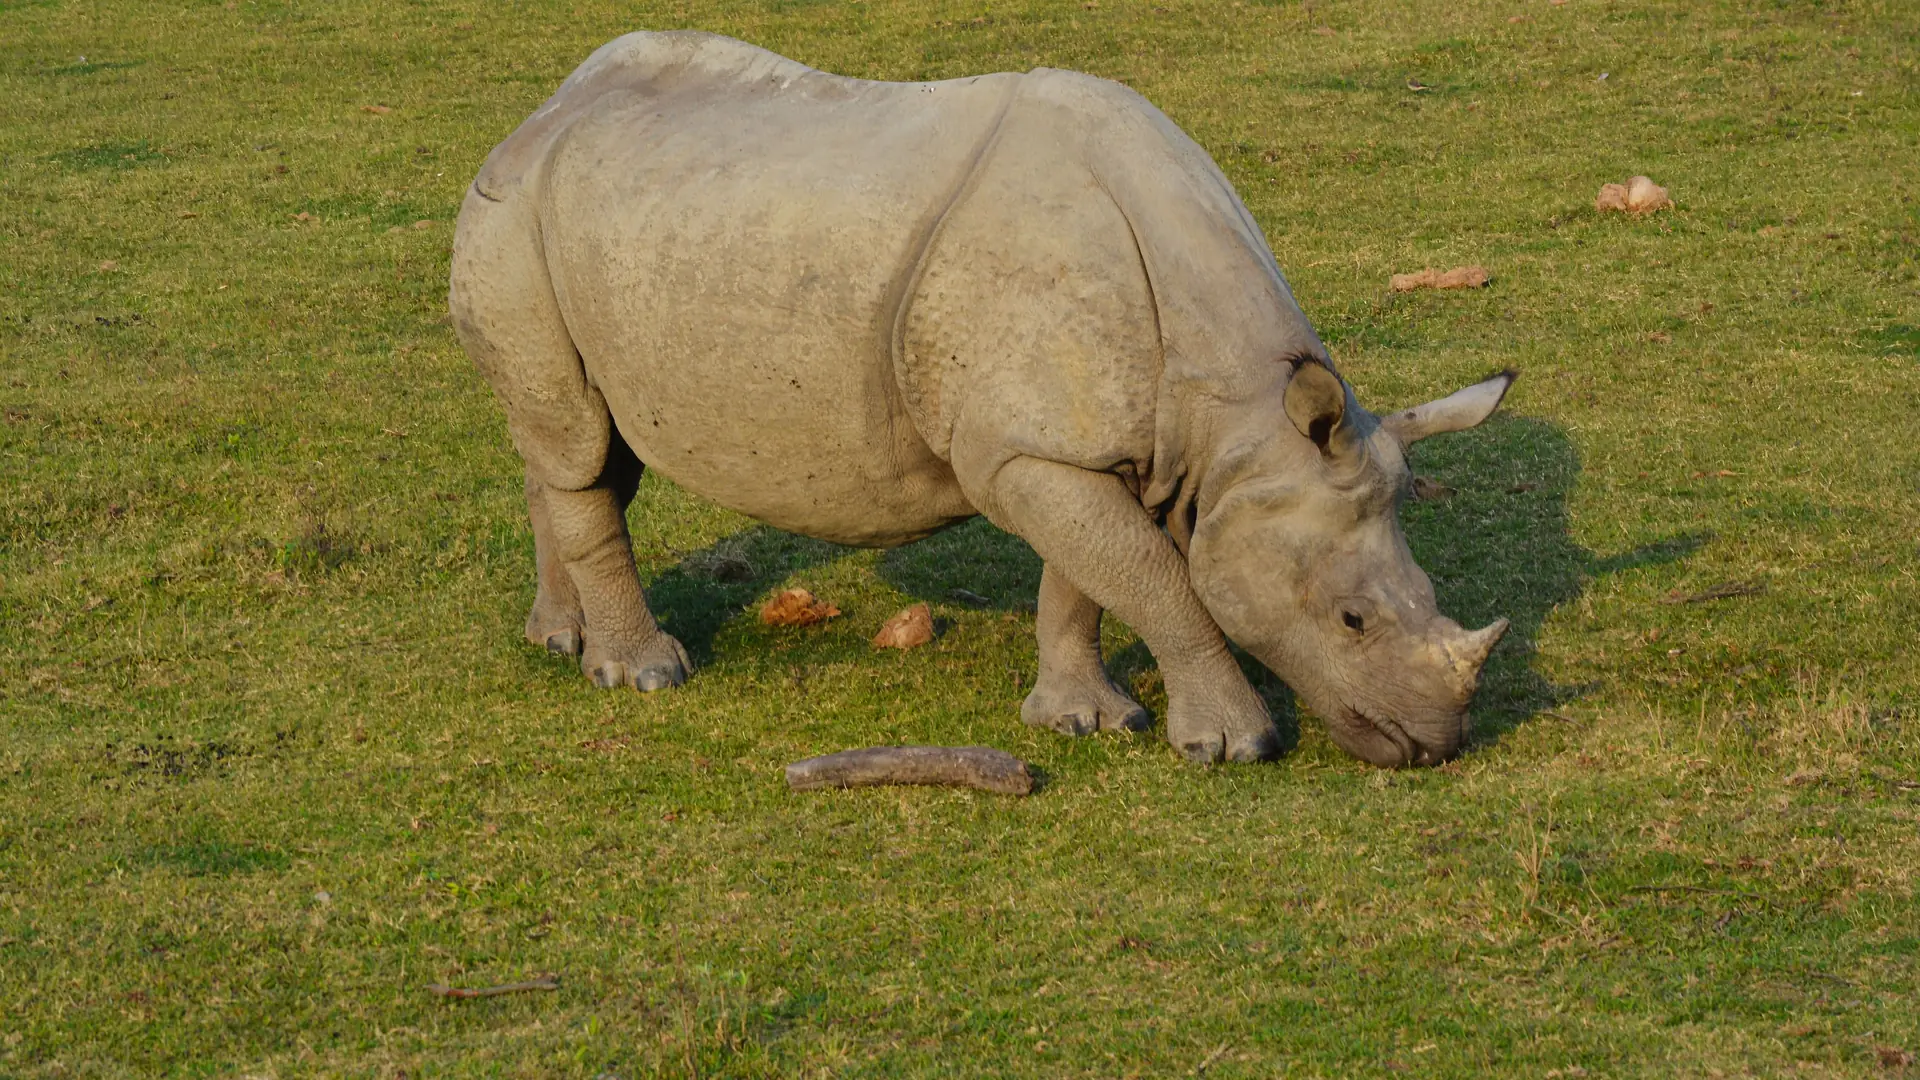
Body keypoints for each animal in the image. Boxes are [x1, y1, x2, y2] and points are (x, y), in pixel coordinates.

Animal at [450, 31, 1515, 767]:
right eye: (1352, 620)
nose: (1435, 745)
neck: (1238, 425)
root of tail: (546, 109)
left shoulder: (1073, 446)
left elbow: (1086, 577)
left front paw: (1083, 721)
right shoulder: (1032, 450)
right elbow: (1153, 576)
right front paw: (1232, 746)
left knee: (583, 446)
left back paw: (557, 641)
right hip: (511, 217)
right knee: (578, 443)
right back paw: (645, 675)